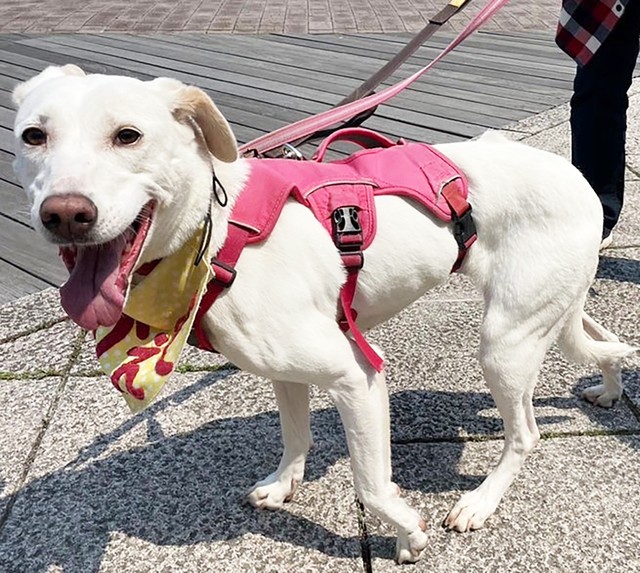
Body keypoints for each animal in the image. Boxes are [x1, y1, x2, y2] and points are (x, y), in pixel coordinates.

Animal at [12, 65, 632, 560]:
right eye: (33, 136)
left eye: (128, 135)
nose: (64, 214)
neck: (215, 237)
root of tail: (576, 177)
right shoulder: (285, 371)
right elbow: (295, 437)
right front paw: (284, 485)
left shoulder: (357, 376)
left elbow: (371, 485)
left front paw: (408, 534)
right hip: (551, 308)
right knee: (601, 340)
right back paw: (608, 390)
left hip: (504, 341)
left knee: (524, 432)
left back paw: (479, 502)